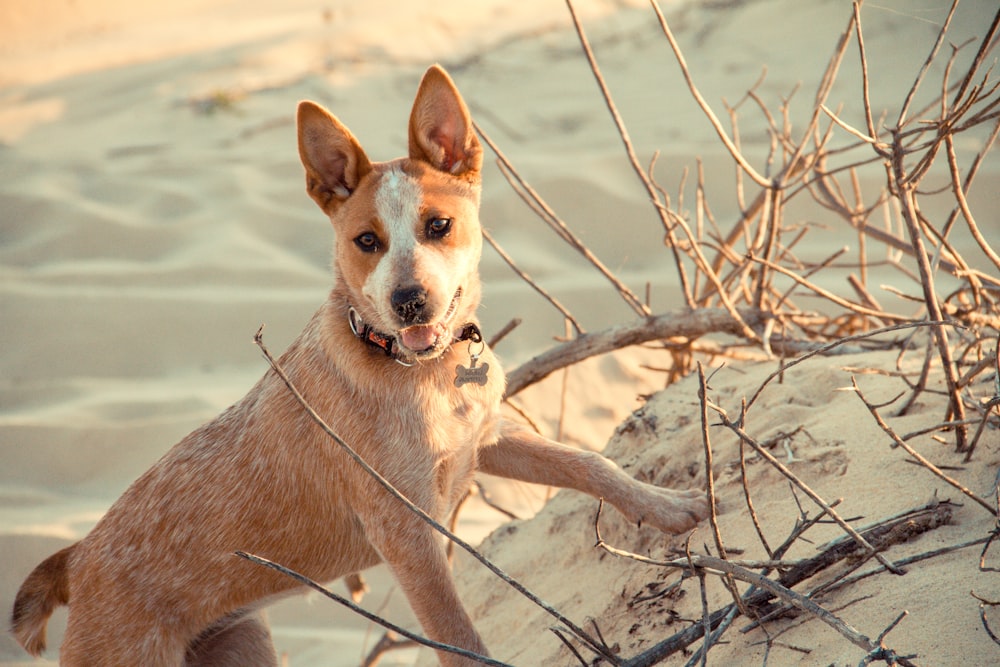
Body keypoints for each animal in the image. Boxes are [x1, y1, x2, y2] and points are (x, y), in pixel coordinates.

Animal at [9, 64, 712, 667]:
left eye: (439, 225)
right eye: (366, 241)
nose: (409, 302)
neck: (419, 371)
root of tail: (75, 559)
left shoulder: (487, 440)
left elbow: (588, 463)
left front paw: (667, 506)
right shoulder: (409, 537)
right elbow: (460, 638)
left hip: (240, 643)